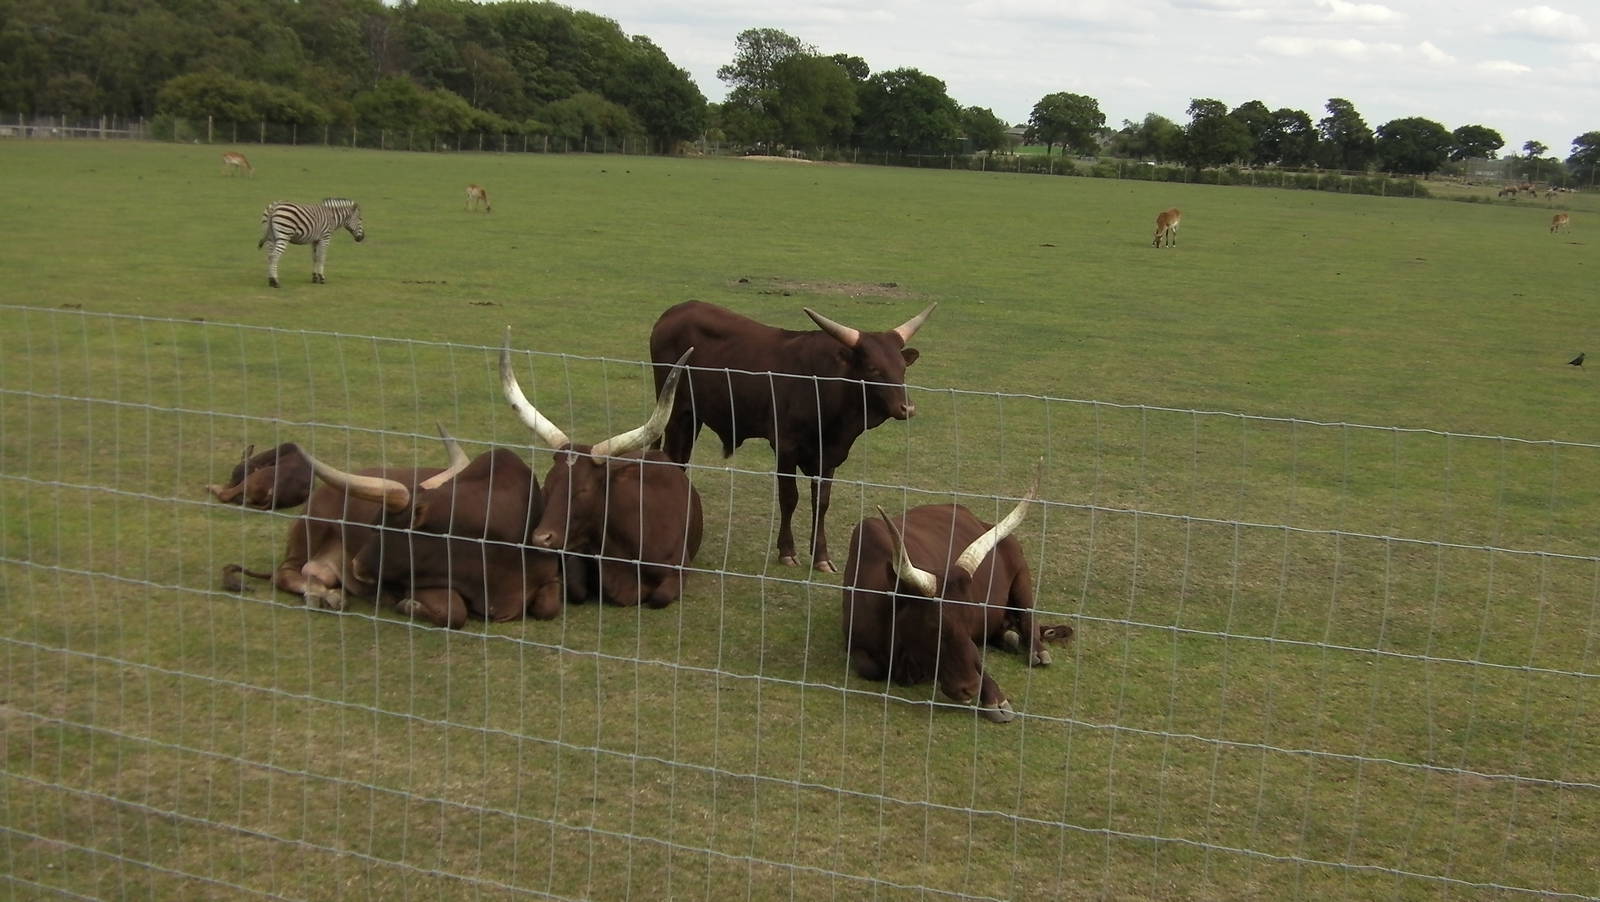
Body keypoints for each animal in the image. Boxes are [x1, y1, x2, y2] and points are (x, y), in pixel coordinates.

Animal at [502, 330, 703, 609]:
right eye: (547, 485)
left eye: (584, 490)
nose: (541, 538)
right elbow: (576, 589)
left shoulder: (678, 570)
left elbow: (659, 597)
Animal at [647, 300, 935, 573]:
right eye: (873, 369)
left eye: (902, 368)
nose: (907, 407)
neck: (826, 385)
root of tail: (675, 312)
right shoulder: (785, 447)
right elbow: (789, 498)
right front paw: (787, 551)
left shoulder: (829, 454)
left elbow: (821, 502)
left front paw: (821, 557)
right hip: (674, 411)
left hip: (693, 416)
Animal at [841, 465, 1053, 723]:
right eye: (935, 627)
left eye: (970, 620)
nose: (970, 687)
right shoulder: (855, 645)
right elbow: (871, 668)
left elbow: (977, 659)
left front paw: (994, 698)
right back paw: (1007, 636)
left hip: (1022, 572)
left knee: (1028, 615)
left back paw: (1037, 650)